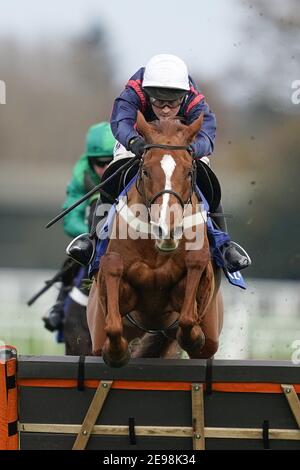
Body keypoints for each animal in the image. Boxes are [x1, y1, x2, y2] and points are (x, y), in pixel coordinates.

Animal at [86, 114, 223, 368]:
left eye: (188, 172)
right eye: (146, 172)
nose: (166, 230)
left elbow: (189, 314)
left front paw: (192, 336)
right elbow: (113, 319)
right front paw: (118, 352)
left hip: (211, 338)